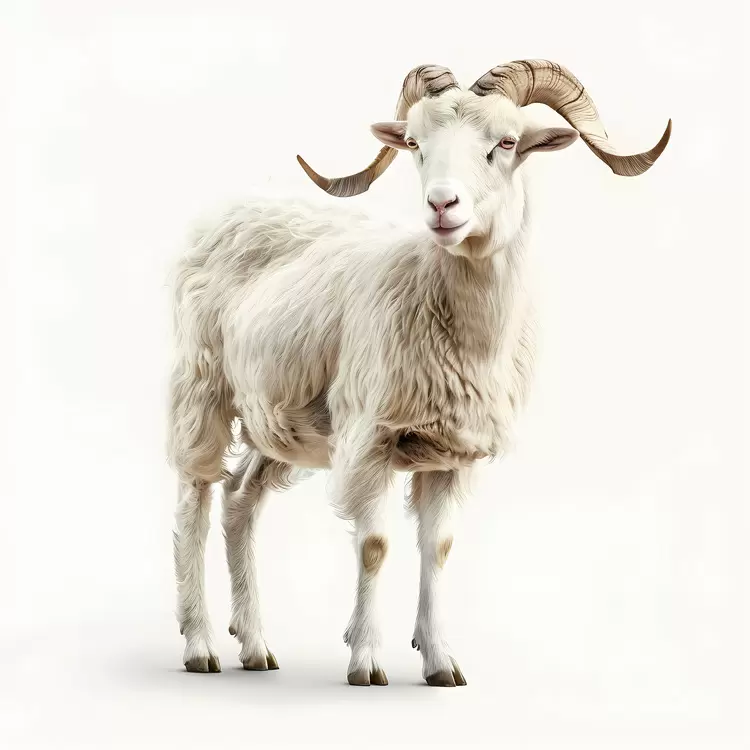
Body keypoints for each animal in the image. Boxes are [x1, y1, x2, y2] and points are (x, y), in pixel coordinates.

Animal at [168, 60, 671, 686]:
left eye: (507, 143)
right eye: (414, 144)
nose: (441, 205)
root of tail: (232, 209)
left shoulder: (452, 454)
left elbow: (440, 549)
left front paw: (440, 662)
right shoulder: (369, 439)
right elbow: (376, 546)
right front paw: (365, 660)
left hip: (281, 420)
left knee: (240, 500)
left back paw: (256, 645)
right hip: (202, 388)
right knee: (193, 501)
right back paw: (200, 645)